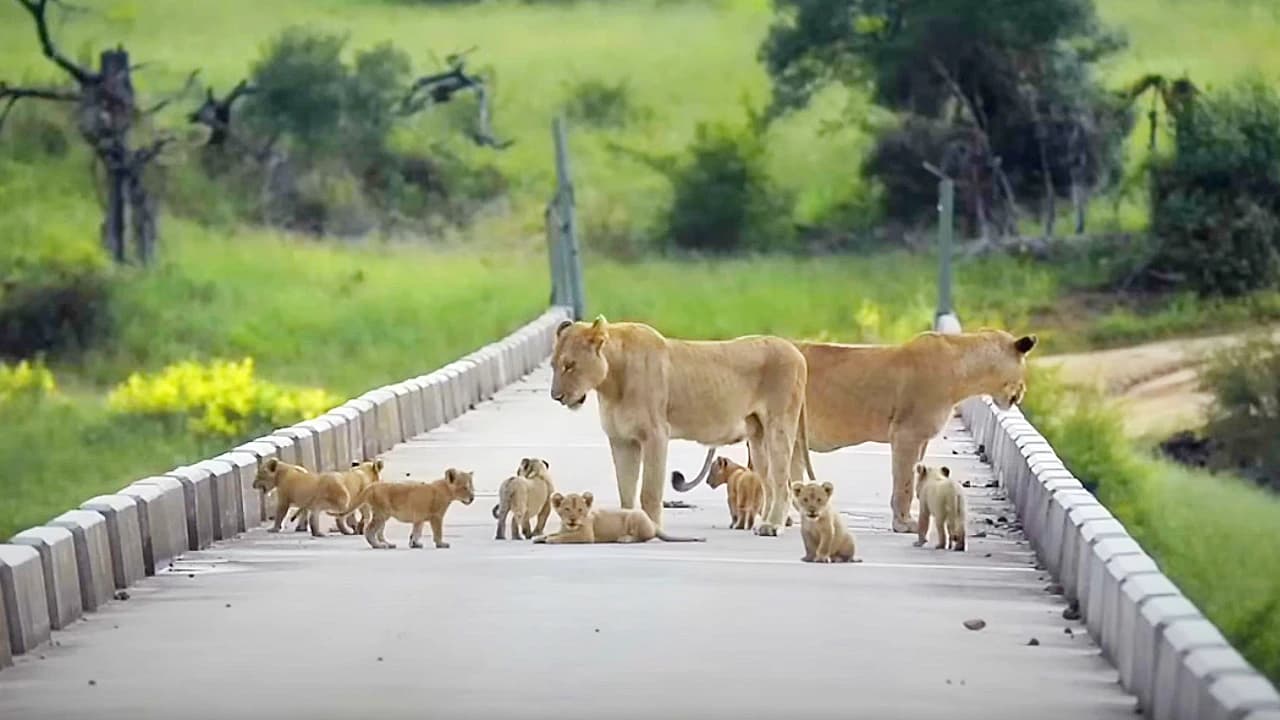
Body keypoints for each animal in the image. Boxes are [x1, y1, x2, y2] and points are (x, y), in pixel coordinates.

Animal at [547, 313, 808, 532]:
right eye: (553, 366)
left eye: (570, 365)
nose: (555, 396)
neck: (611, 383)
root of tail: (797, 352)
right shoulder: (621, 440)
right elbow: (626, 491)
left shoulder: (655, 434)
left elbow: (649, 492)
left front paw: (652, 529)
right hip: (757, 436)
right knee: (769, 483)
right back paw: (766, 523)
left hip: (779, 426)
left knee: (783, 484)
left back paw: (772, 526)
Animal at [670, 327, 1039, 530]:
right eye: (1024, 369)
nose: (1022, 394)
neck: (964, 369)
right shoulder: (906, 433)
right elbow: (904, 483)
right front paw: (903, 524)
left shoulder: (919, 438)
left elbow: (916, 480)